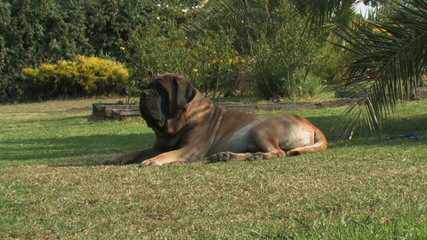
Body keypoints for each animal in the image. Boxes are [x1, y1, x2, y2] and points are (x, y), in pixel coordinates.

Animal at [111, 74, 328, 166]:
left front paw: (153, 161)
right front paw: (115, 158)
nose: (144, 94)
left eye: (161, 90)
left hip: (259, 128)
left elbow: (166, 154)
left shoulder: (190, 149)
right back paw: (227, 156)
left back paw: (257, 156)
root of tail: (311, 124)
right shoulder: (158, 145)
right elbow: (137, 151)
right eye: (149, 86)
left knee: (278, 152)